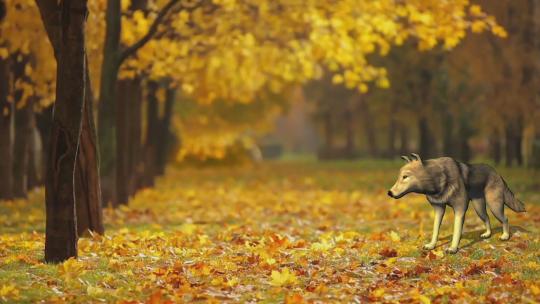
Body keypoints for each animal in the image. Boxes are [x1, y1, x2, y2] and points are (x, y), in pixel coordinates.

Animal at [386, 152, 524, 254]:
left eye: (405, 177)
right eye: (399, 177)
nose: (389, 193)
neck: (438, 180)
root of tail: (497, 172)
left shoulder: (460, 209)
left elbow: (457, 230)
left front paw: (453, 248)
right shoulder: (439, 209)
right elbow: (435, 230)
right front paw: (431, 245)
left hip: (494, 206)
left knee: (505, 218)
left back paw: (505, 236)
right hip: (479, 208)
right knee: (487, 218)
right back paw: (487, 234)